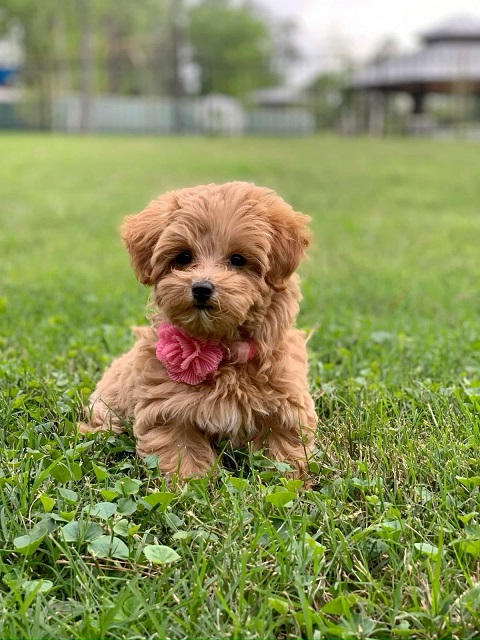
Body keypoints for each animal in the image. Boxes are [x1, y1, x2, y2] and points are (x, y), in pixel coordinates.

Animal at [79, 182, 318, 478]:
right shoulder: (167, 406)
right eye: (183, 257)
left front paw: (290, 478)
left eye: (238, 259)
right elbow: (181, 449)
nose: (201, 288)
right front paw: (189, 482)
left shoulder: (286, 402)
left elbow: (284, 444)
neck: (222, 350)